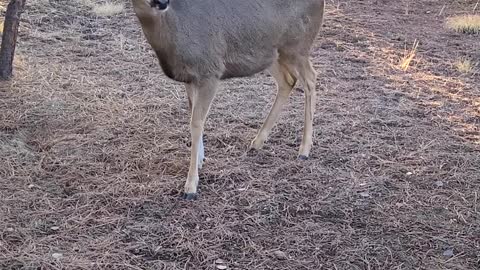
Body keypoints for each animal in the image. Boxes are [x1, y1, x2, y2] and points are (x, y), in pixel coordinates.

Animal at [131, 0, 326, 198]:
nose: (163, 2)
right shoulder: (190, 79)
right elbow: (193, 116)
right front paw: (200, 160)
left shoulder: (210, 71)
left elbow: (196, 122)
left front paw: (191, 186)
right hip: (270, 54)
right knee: (288, 81)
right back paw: (258, 141)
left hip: (297, 45)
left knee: (310, 78)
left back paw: (304, 150)